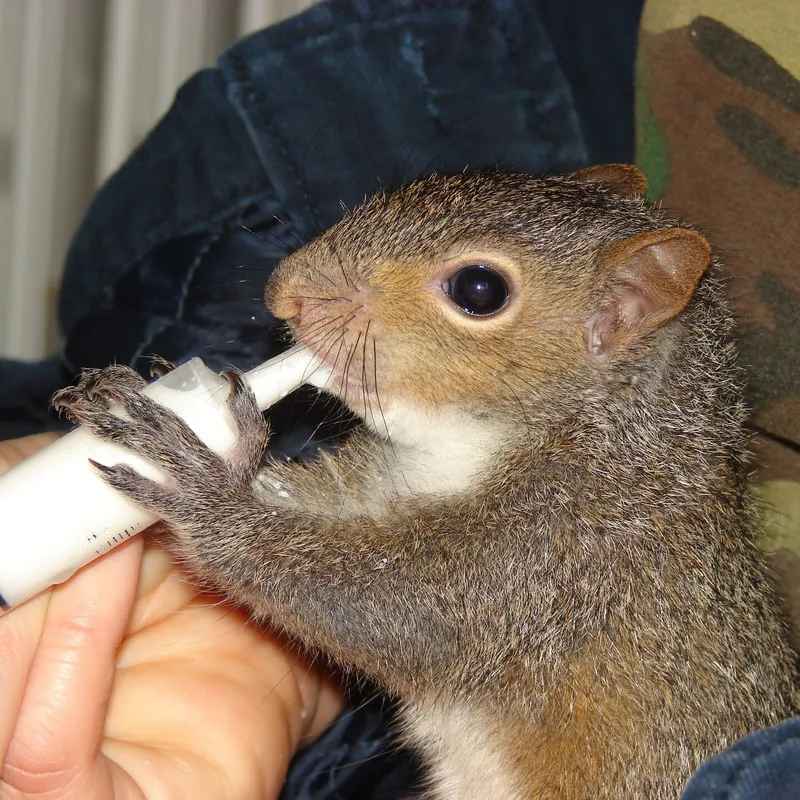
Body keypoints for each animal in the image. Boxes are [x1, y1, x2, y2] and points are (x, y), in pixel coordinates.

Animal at [54, 164, 799, 799]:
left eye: (479, 291)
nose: (282, 291)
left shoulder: (561, 555)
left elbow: (398, 609)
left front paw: (204, 491)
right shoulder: (383, 483)